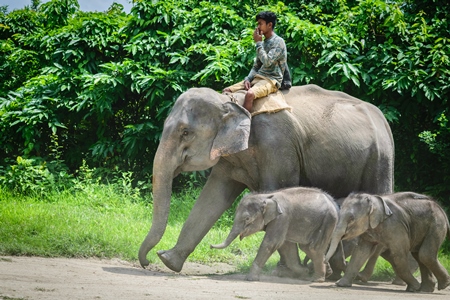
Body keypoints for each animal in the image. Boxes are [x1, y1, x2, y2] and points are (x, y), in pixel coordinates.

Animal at [138, 83, 394, 274]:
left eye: (185, 132)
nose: (148, 261)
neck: (232, 102)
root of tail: (383, 119)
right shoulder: (230, 155)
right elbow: (212, 198)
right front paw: (169, 261)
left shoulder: (277, 146)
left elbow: (278, 192)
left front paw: (292, 271)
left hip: (380, 158)